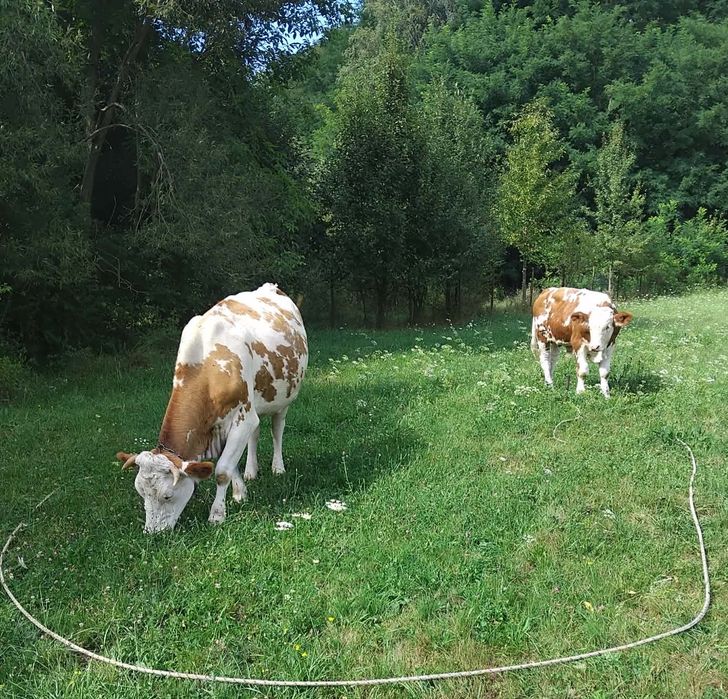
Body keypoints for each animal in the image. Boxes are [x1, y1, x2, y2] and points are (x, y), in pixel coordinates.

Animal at [116, 283, 308, 533]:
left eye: (167, 496)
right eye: (142, 494)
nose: (152, 533)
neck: (207, 367)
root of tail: (270, 287)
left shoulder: (242, 419)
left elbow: (223, 470)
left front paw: (217, 514)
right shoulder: (229, 423)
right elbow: (231, 464)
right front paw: (240, 493)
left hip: (283, 397)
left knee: (277, 429)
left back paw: (278, 467)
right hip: (255, 403)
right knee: (255, 434)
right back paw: (251, 471)